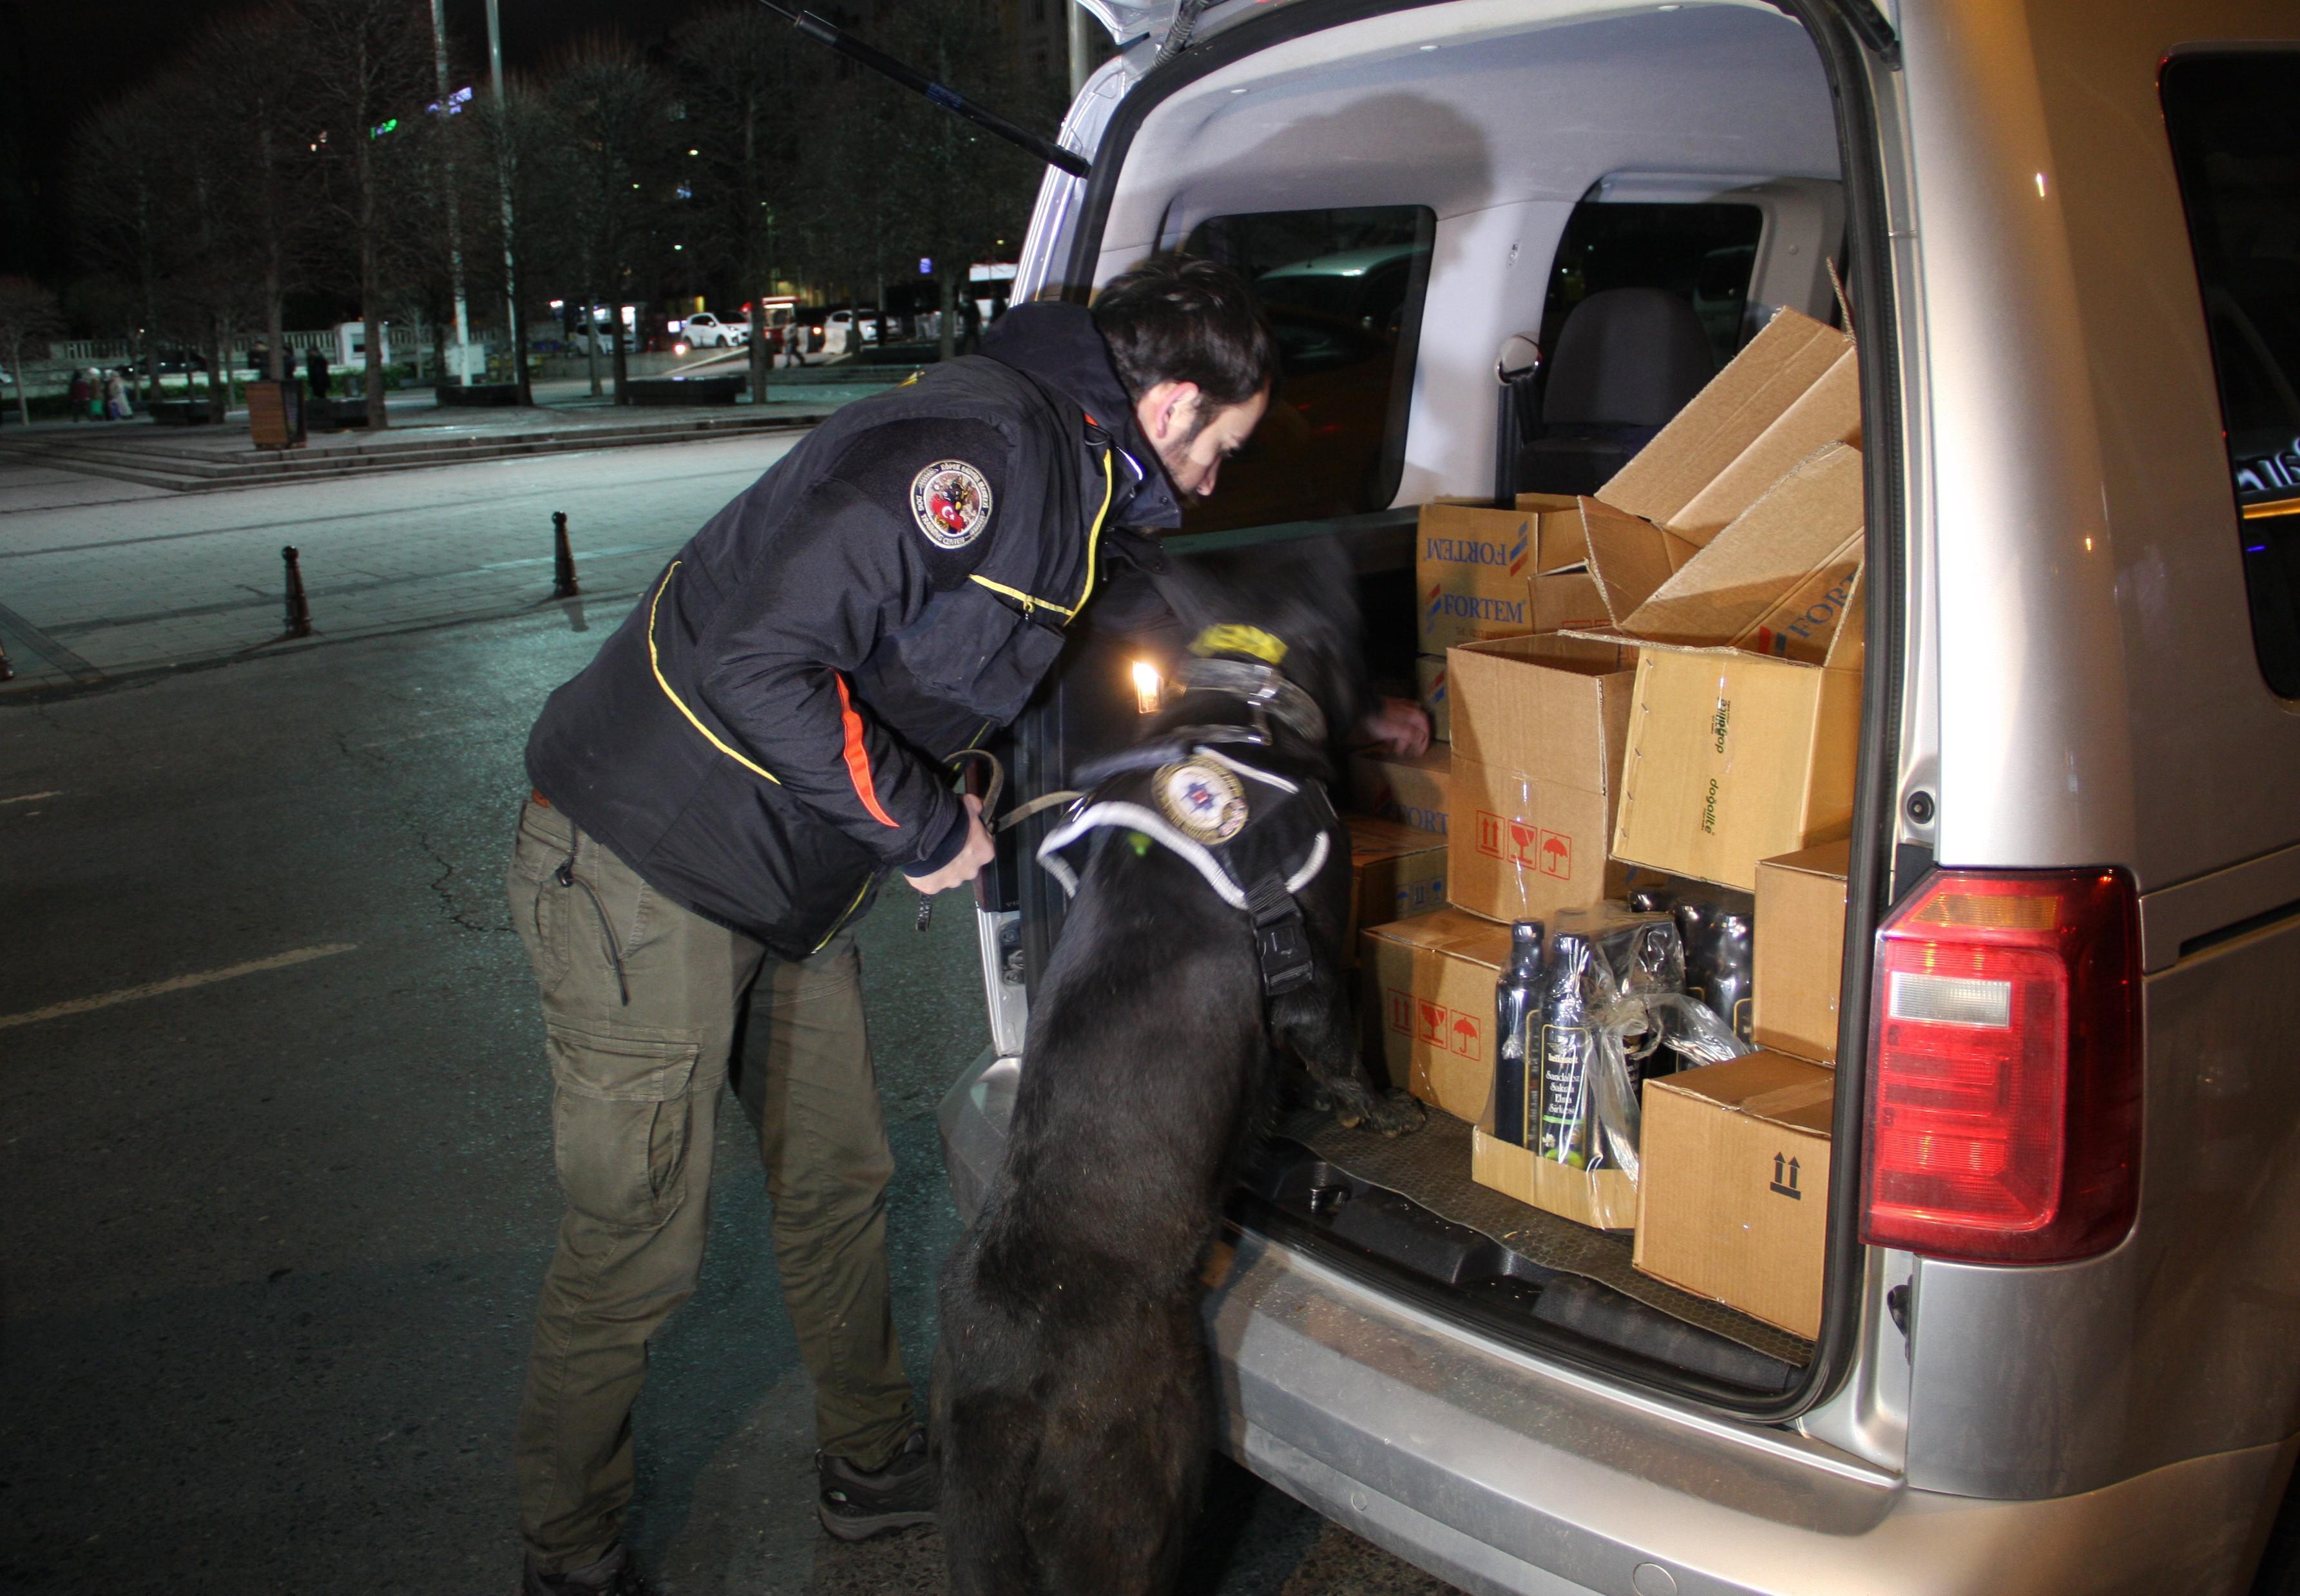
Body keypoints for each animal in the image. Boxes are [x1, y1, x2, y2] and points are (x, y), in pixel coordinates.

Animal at [934, 547, 1417, 1596]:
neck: (1238, 698)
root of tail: (1016, 1404)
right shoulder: (1315, 968)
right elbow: (1341, 1053)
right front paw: (1377, 1108)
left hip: (977, 1538)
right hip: (1146, 1492)